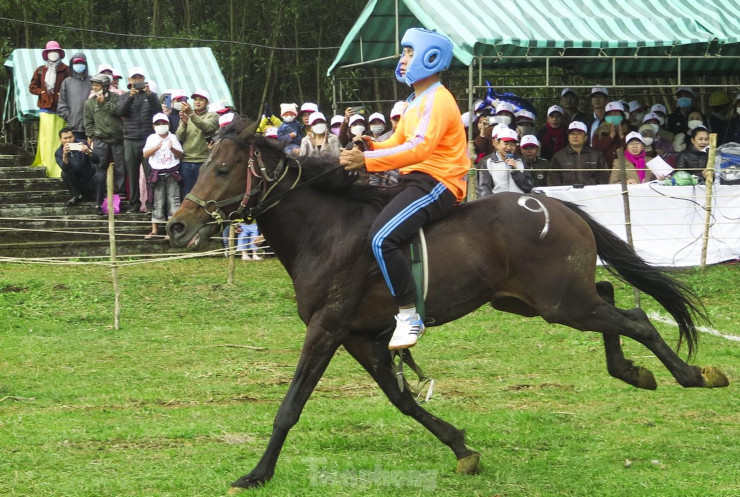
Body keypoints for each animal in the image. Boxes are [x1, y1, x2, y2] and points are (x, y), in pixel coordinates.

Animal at [166, 117, 728, 492]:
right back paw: (632, 370)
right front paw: (461, 447)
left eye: (222, 168)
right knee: (614, 299)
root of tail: (554, 205)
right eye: (204, 165)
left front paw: (257, 473)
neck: (325, 231)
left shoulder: (328, 329)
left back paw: (690, 374)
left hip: (561, 303)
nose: (176, 225)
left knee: (637, 318)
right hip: (536, 301)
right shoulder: (360, 337)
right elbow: (403, 400)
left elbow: (290, 406)